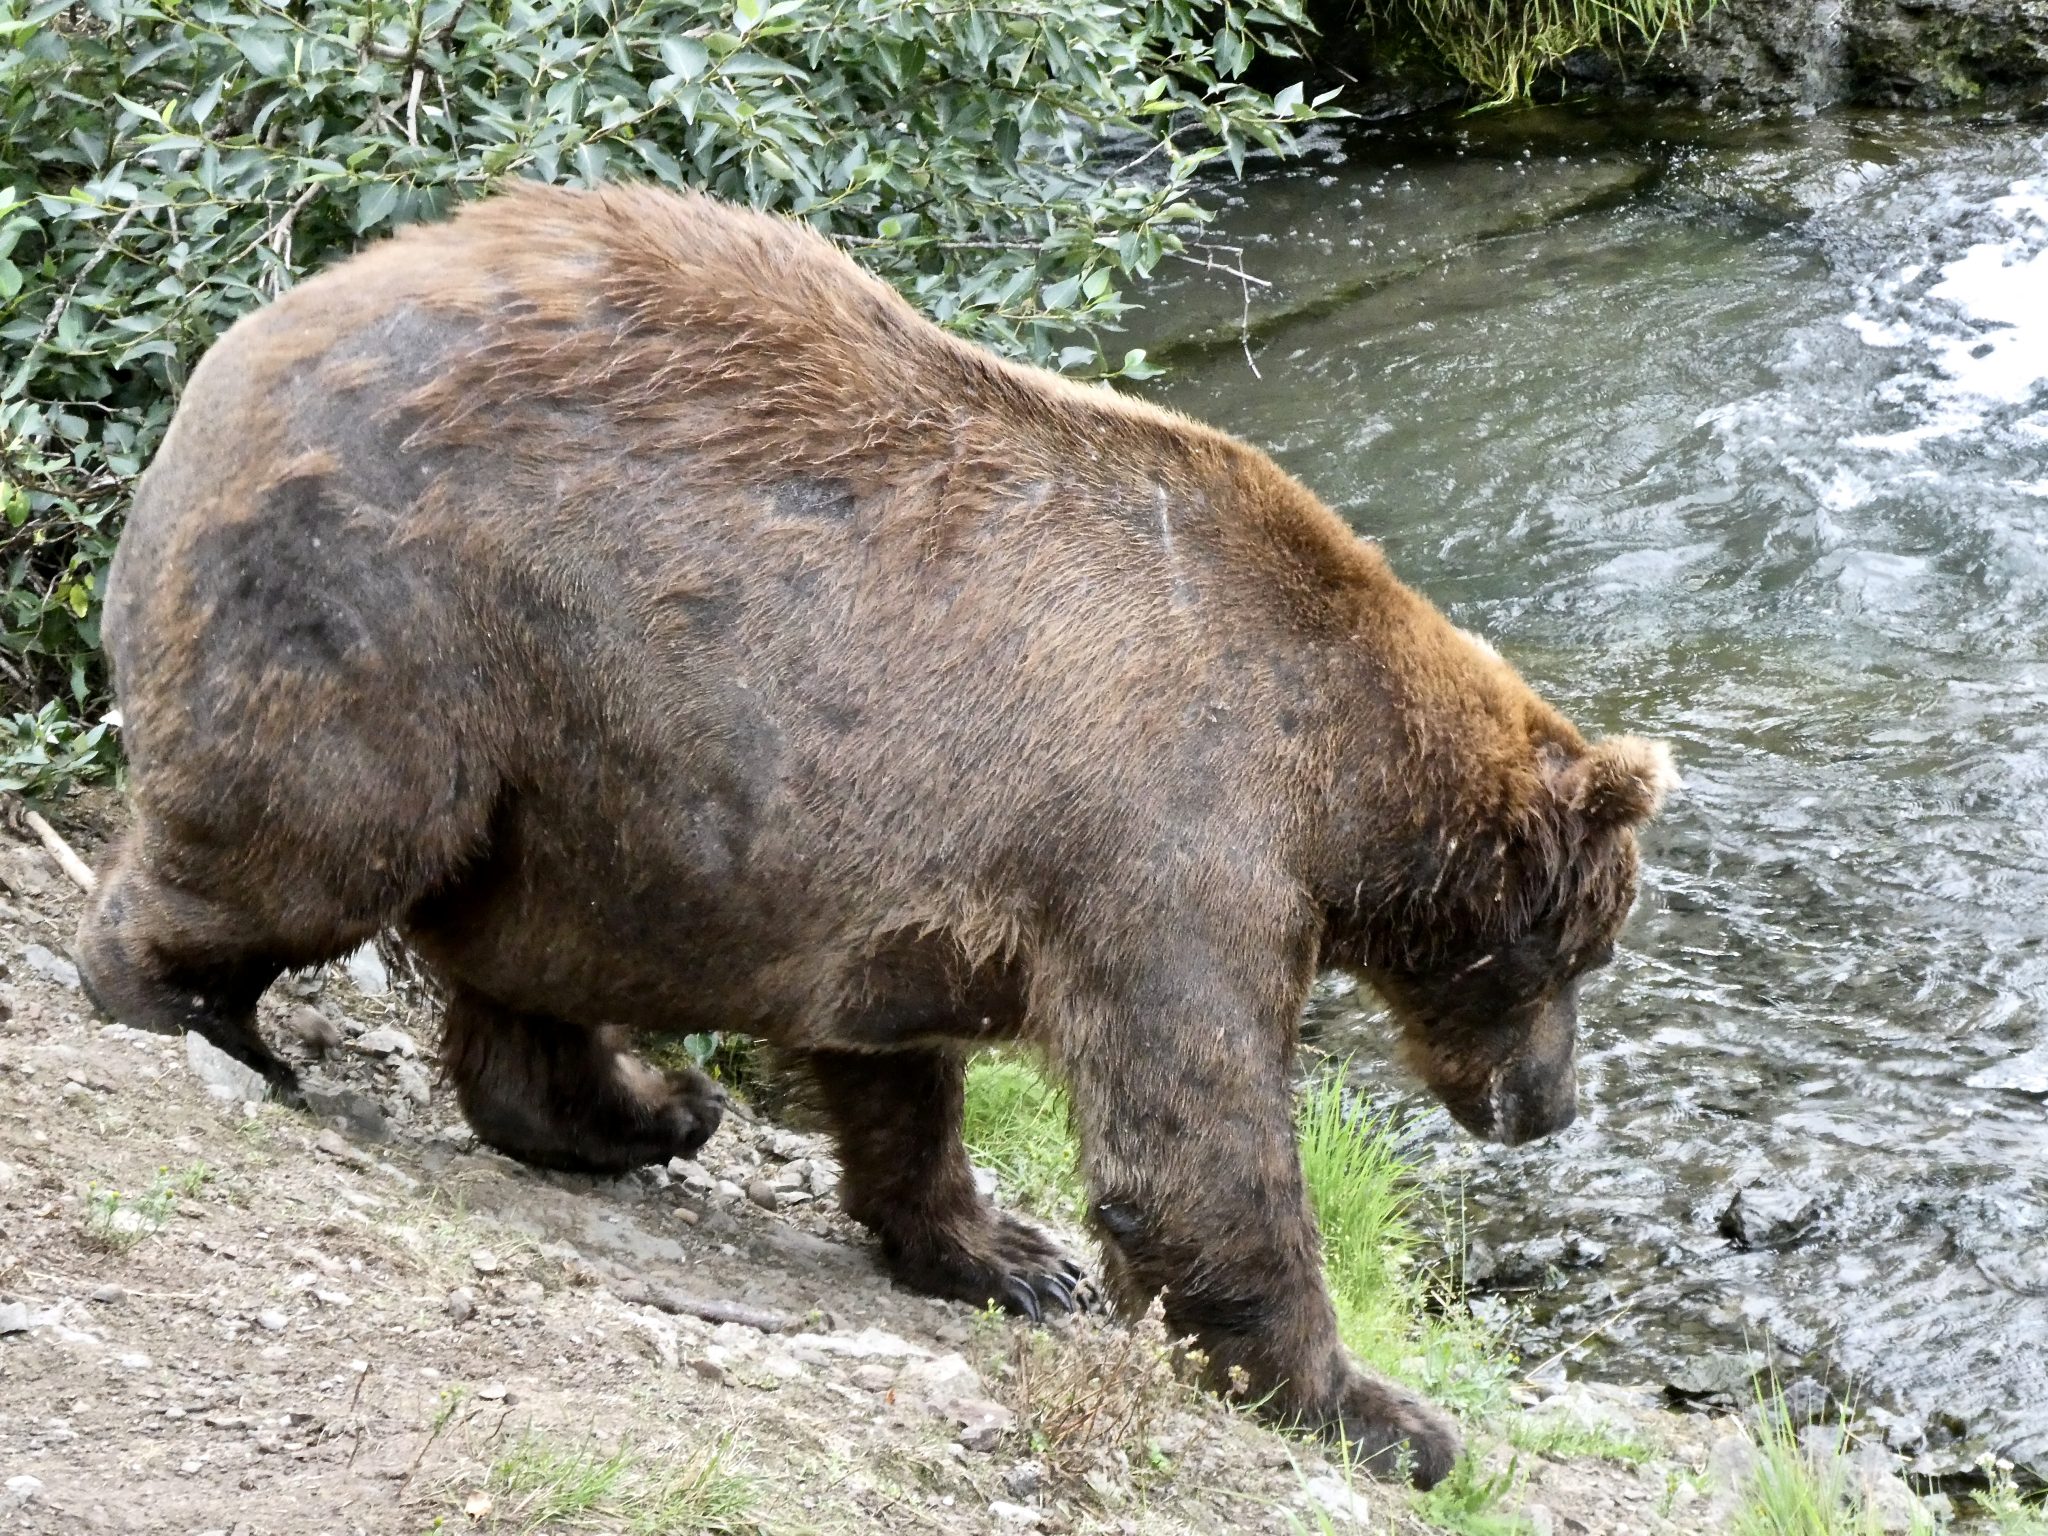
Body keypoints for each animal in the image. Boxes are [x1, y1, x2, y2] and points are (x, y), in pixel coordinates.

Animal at [79, 180, 1679, 1490]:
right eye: (1575, 956)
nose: (1550, 1108)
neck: (1340, 776)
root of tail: (229, 356)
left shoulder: (896, 858)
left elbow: (897, 1069)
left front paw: (1002, 1254)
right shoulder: (1175, 838)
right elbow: (1194, 1138)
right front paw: (1385, 1413)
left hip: (584, 772)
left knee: (526, 957)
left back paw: (644, 1109)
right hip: (403, 620)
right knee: (310, 844)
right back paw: (187, 1005)